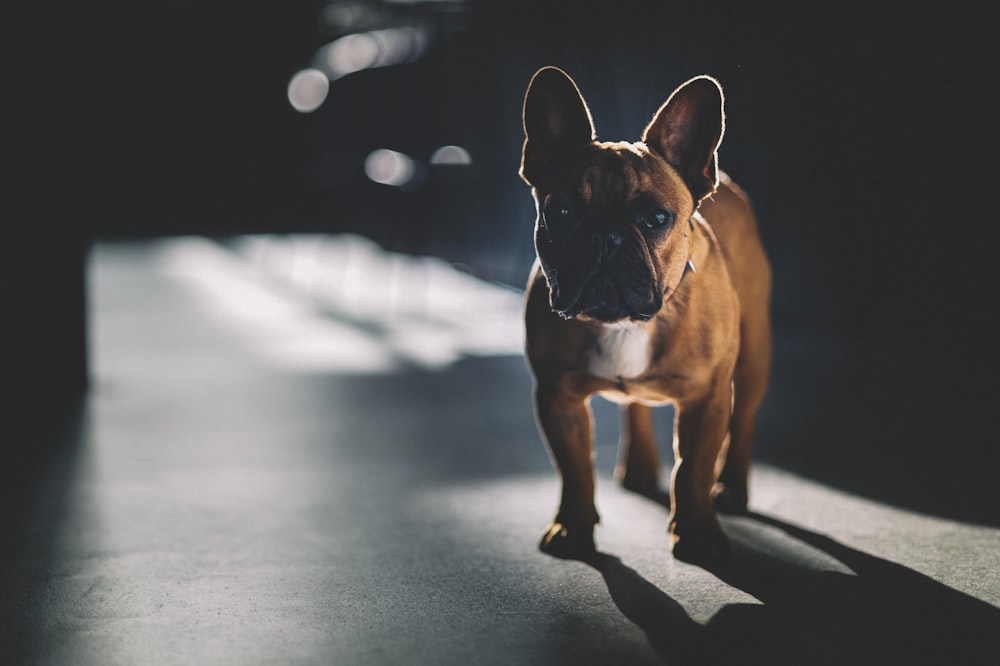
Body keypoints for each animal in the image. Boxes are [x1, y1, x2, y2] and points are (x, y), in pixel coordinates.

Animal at [520, 67, 768, 564]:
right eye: (560, 211)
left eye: (656, 218)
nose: (605, 237)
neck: (623, 323)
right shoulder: (558, 399)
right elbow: (575, 471)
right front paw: (573, 528)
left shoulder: (707, 400)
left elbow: (691, 471)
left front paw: (696, 534)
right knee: (633, 408)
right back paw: (637, 466)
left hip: (753, 357)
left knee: (744, 422)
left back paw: (731, 487)